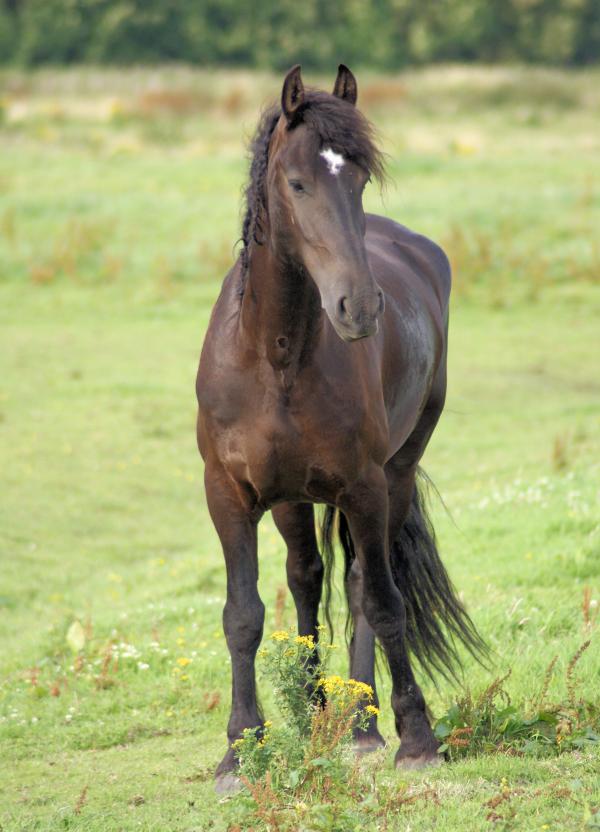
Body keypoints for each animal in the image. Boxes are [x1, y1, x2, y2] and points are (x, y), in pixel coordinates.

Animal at [196, 64, 486, 791]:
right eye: (297, 182)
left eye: (358, 178)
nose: (359, 307)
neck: (275, 358)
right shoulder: (228, 494)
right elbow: (244, 615)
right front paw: (241, 749)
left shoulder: (364, 486)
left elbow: (381, 601)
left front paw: (417, 737)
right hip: (293, 498)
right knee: (306, 577)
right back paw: (315, 712)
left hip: (395, 475)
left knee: (358, 586)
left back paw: (361, 724)